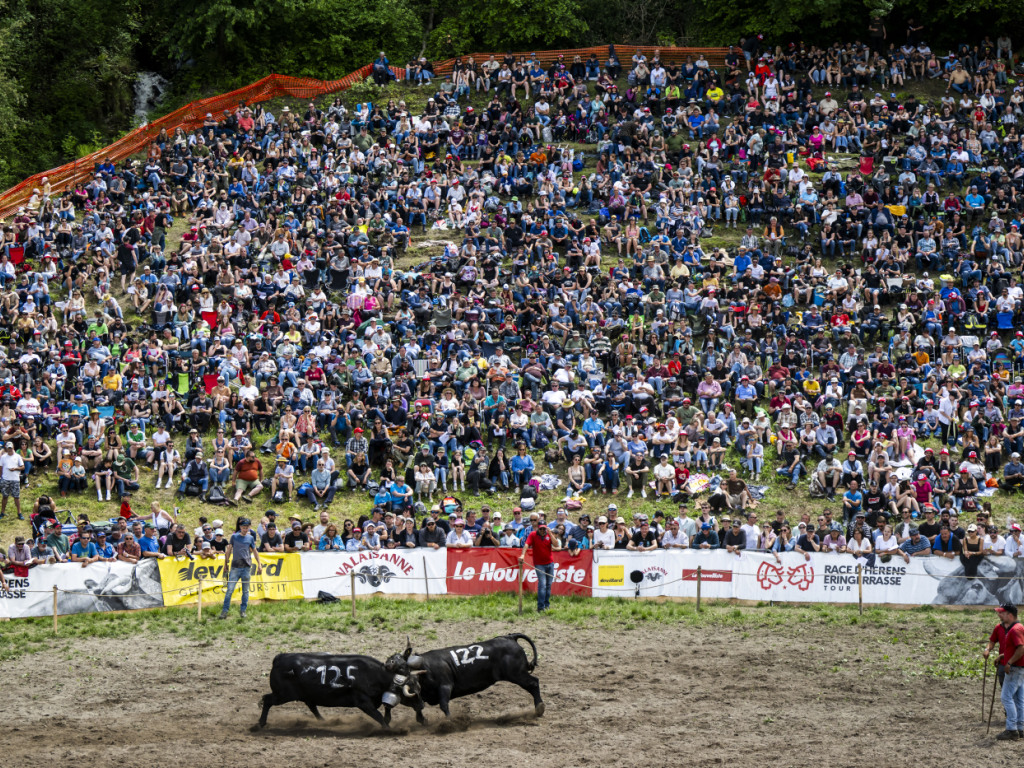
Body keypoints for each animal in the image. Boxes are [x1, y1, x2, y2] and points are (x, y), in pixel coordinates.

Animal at [256, 652, 424, 730]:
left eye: (419, 687)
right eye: (412, 692)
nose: (422, 705)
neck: (374, 674)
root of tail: (279, 658)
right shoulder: (363, 702)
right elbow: (378, 717)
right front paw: (388, 730)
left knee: (312, 706)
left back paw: (324, 721)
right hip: (282, 695)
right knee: (267, 700)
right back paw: (261, 723)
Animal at [384, 634, 544, 719]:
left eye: (400, 662)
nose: (387, 663)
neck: (425, 668)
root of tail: (509, 637)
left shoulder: (445, 686)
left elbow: (444, 705)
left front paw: (449, 721)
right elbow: (418, 706)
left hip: (517, 674)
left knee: (534, 683)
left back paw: (539, 708)